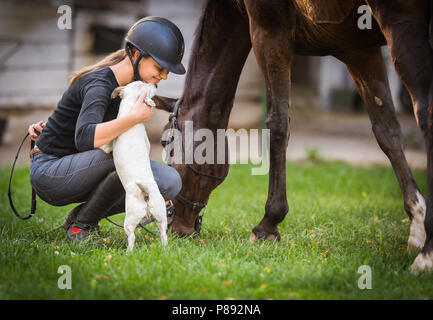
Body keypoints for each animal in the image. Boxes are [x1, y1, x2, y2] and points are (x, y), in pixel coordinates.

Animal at [101, 82, 167, 250]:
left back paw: (128, 252)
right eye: (144, 85)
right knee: (164, 234)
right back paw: (165, 249)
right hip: (161, 215)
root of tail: (146, 193)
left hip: (130, 219)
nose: (155, 84)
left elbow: (105, 146)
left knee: (131, 237)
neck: (129, 109)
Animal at [154, 0, 432, 276]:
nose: (175, 226)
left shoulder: (269, 34)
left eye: (167, 145)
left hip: (402, 23)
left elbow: (277, 125)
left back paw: (425, 258)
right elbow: (387, 131)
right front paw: (417, 222)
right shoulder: (360, 51)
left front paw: (267, 226)